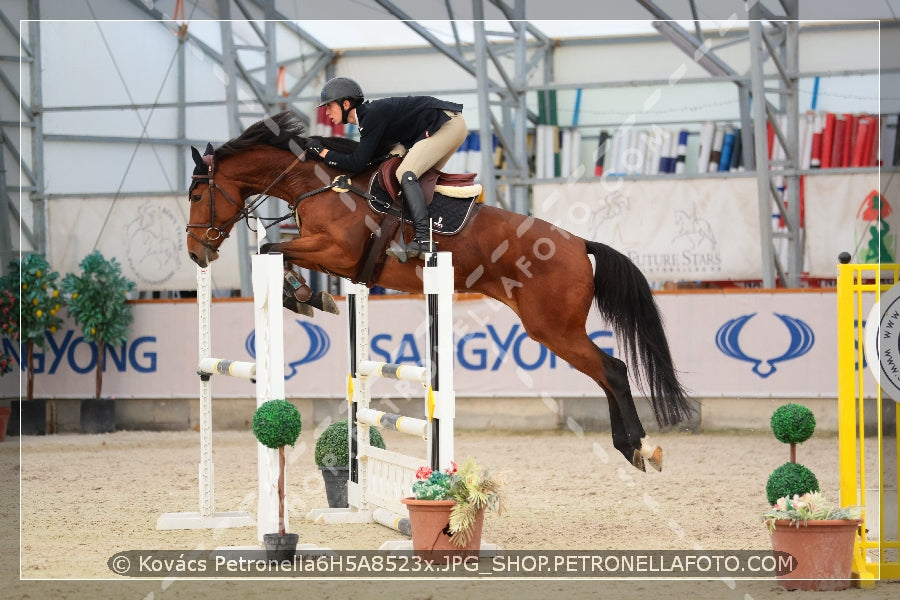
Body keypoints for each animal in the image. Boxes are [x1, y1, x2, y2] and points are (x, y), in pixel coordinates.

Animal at [186, 110, 692, 472]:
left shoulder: (337, 252)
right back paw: (632, 448)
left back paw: (640, 448)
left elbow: (273, 247)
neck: (323, 185)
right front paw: (310, 297)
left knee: (612, 370)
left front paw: (304, 296)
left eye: (195, 196)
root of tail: (579, 243)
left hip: (553, 329)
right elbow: (279, 251)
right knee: (607, 373)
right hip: (556, 330)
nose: (195, 253)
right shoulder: (331, 257)